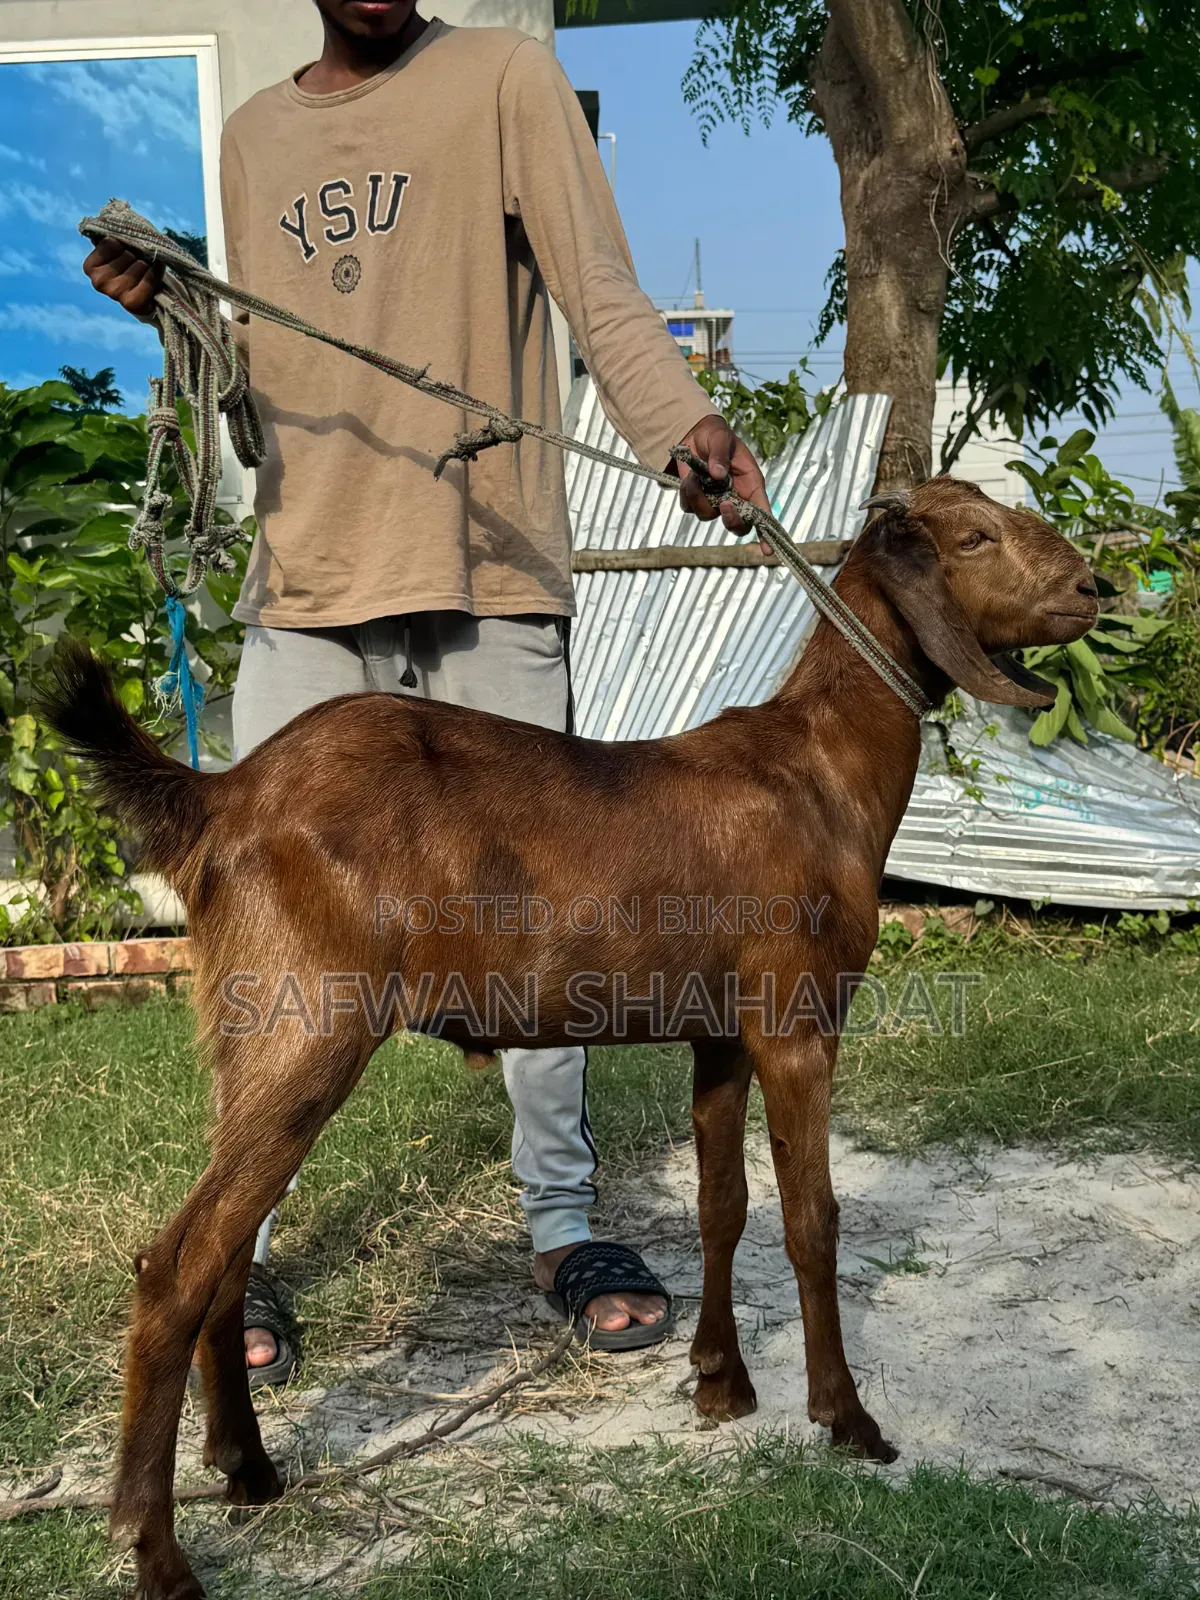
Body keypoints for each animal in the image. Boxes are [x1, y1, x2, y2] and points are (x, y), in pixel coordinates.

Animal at [40, 476, 1096, 1599]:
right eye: (975, 537)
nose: (1094, 587)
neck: (817, 772)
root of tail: (225, 795)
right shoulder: (796, 1022)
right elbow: (812, 1219)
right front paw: (846, 1419)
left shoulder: (720, 1036)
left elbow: (723, 1205)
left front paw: (719, 1383)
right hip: (305, 1026)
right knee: (178, 1264)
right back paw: (159, 1551)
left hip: (260, 1046)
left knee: (227, 1255)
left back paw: (248, 1470)